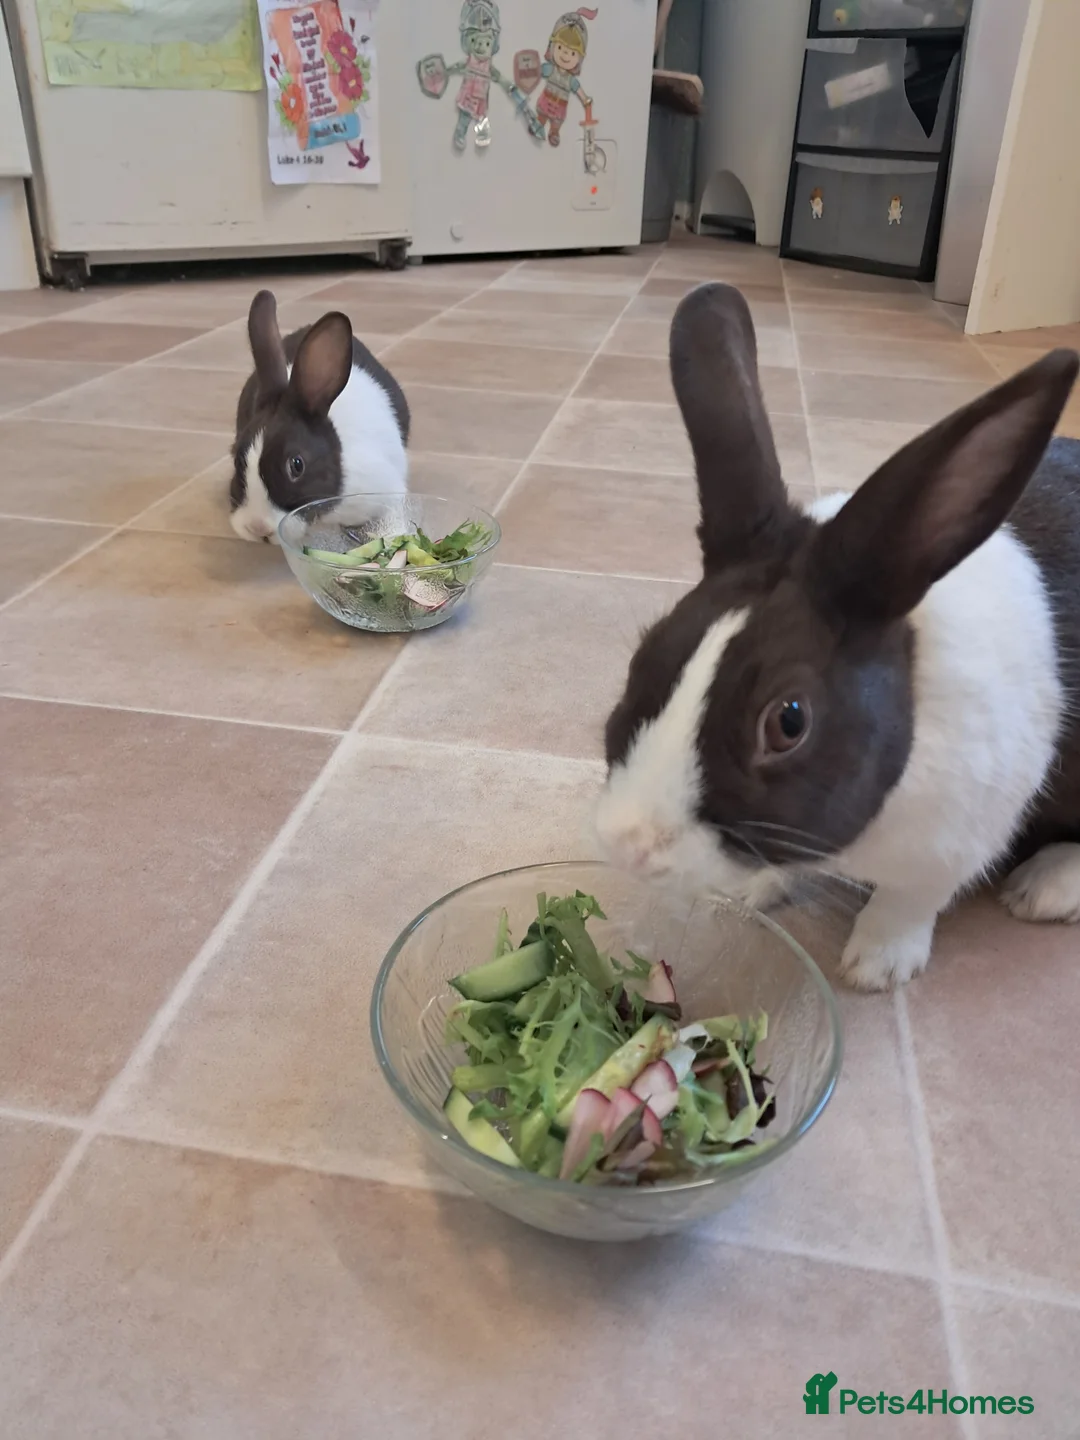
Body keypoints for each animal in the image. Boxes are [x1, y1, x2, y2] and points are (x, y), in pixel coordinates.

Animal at [594, 281, 1080, 991]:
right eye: (643, 657)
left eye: (788, 721)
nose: (627, 845)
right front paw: (750, 896)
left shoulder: (957, 841)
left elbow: (909, 902)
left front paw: (875, 968)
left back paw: (1044, 888)